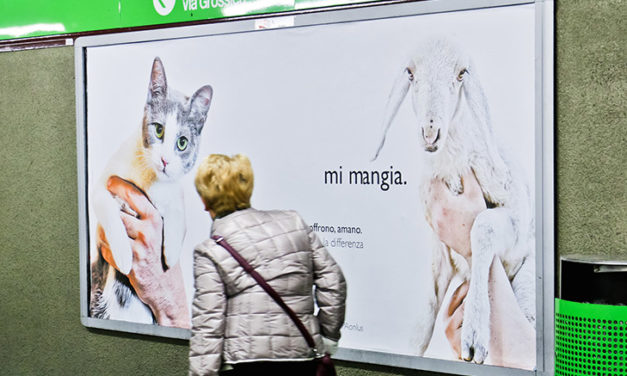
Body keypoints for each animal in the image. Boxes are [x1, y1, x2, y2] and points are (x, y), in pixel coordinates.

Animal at [370, 39, 536, 364]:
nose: (430, 132)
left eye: (461, 74)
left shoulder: (517, 227)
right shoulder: (440, 252)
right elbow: (423, 319)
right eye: (410, 73)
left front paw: (474, 334)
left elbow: (482, 226)